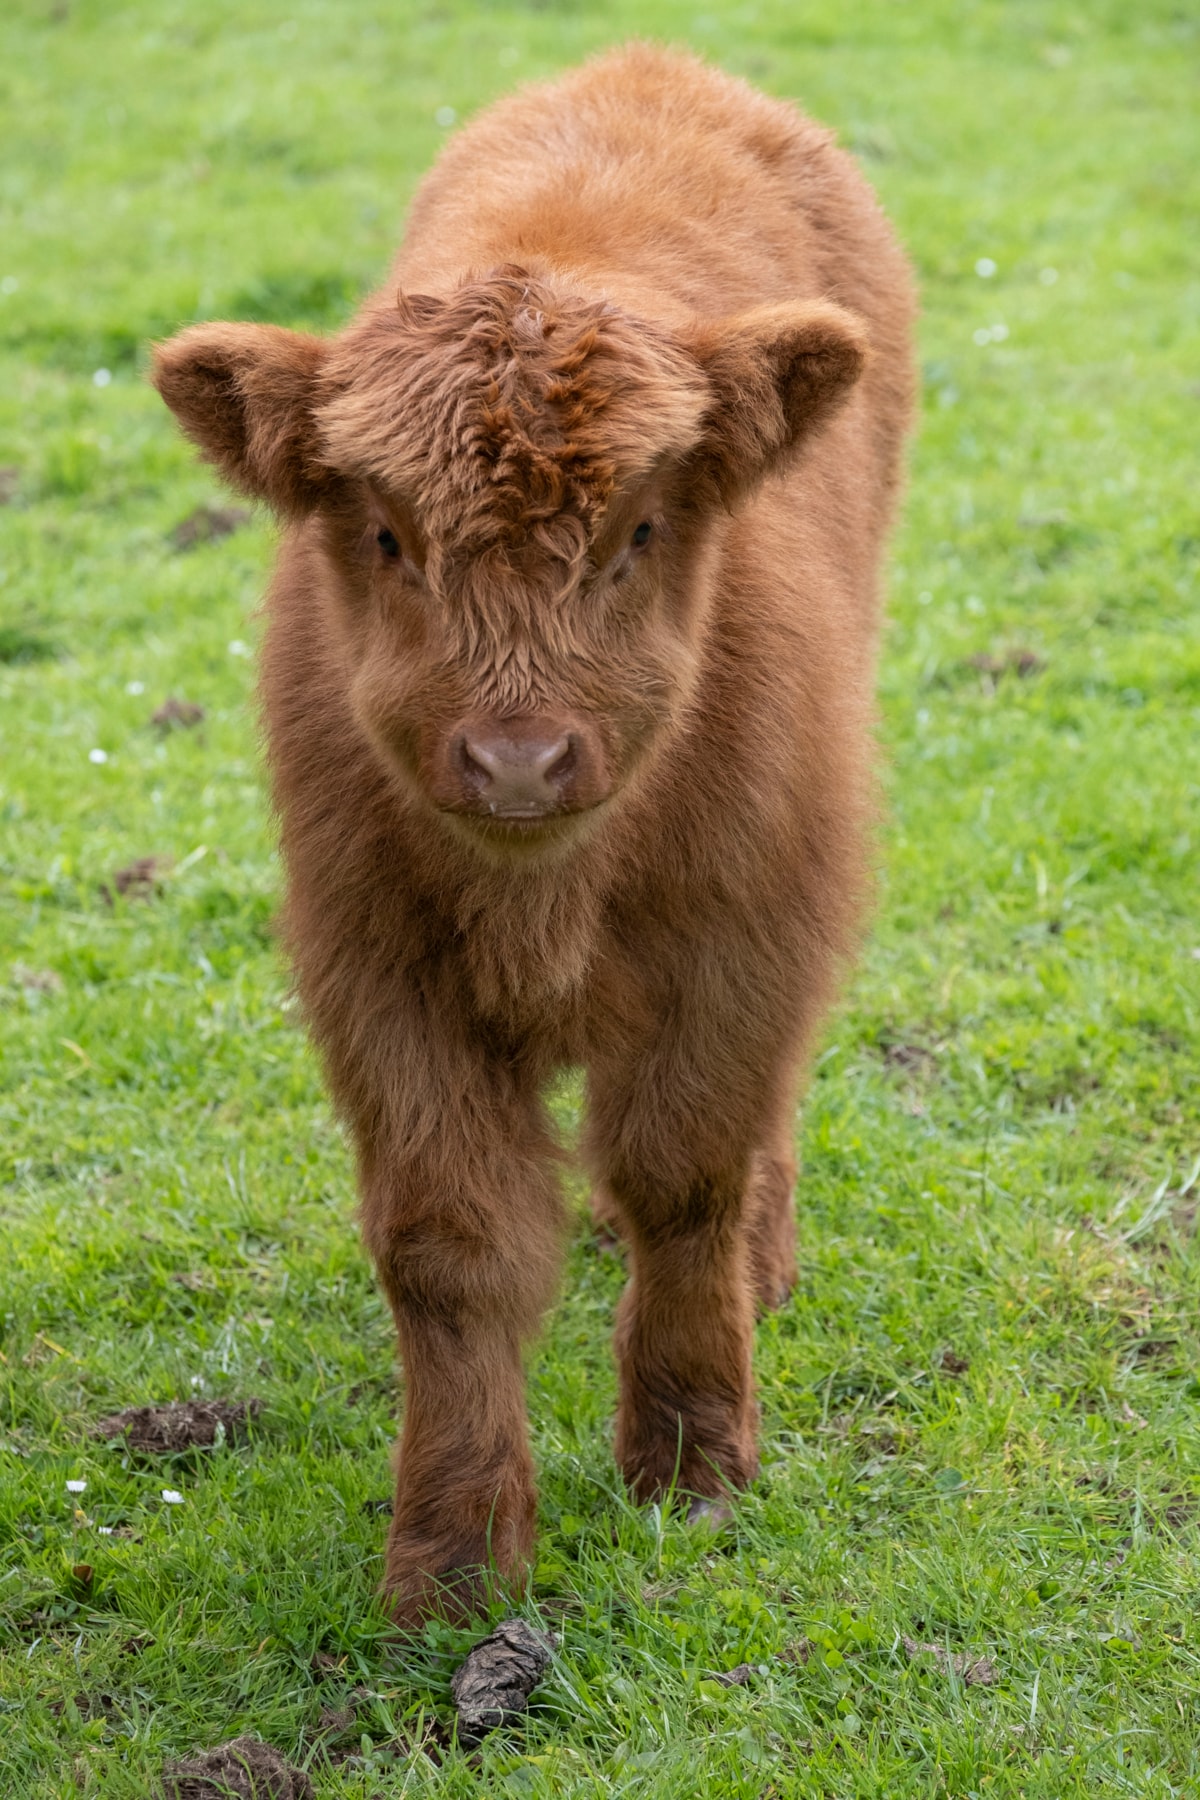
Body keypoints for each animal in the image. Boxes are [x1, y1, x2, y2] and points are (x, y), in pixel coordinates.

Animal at [153, 42, 916, 1626]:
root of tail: (652, 65)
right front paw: (451, 1559)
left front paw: (690, 1464)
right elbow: (450, 1251)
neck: (544, 895)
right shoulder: (377, 966)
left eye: (639, 532)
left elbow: (688, 1175)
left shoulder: (746, 932)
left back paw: (766, 1262)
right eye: (387, 535)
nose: (518, 756)